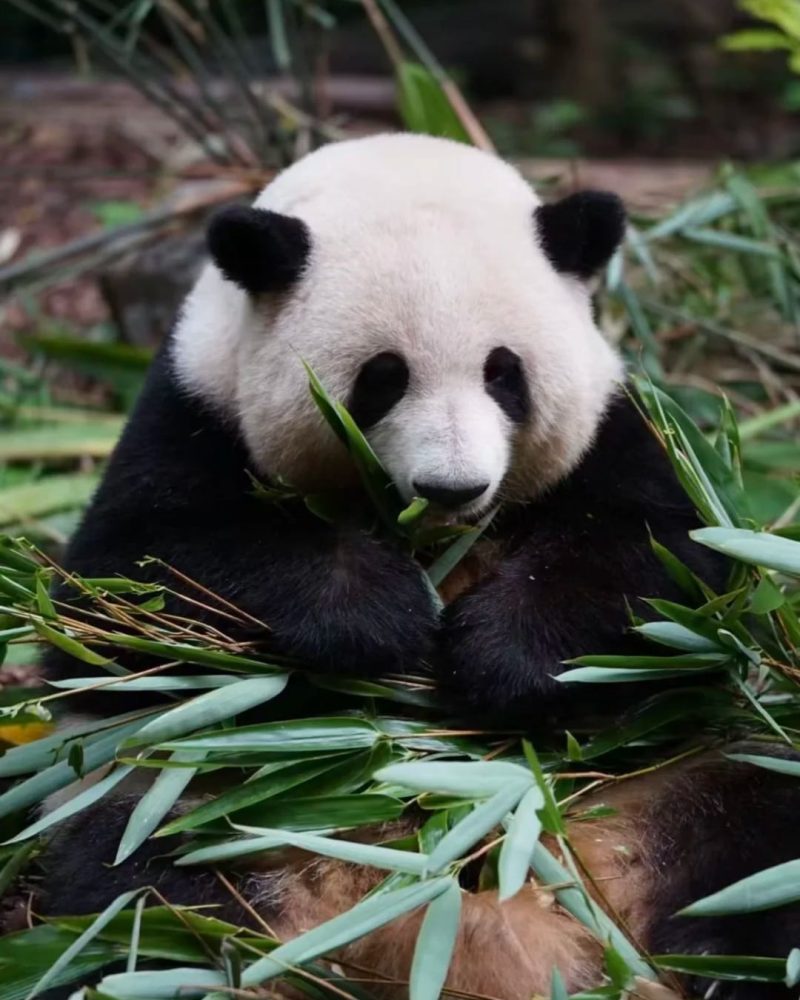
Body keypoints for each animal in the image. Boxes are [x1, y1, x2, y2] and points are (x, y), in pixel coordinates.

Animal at [33, 134, 800, 1000]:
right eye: (383, 378)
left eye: (504, 372)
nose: (453, 487)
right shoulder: (192, 413)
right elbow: (131, 590)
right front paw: (380, 615)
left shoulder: (618, 430)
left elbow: (669, 570)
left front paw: (498, 655)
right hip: (189, 797)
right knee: (138, 896)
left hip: (681, 777)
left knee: (755, 842)